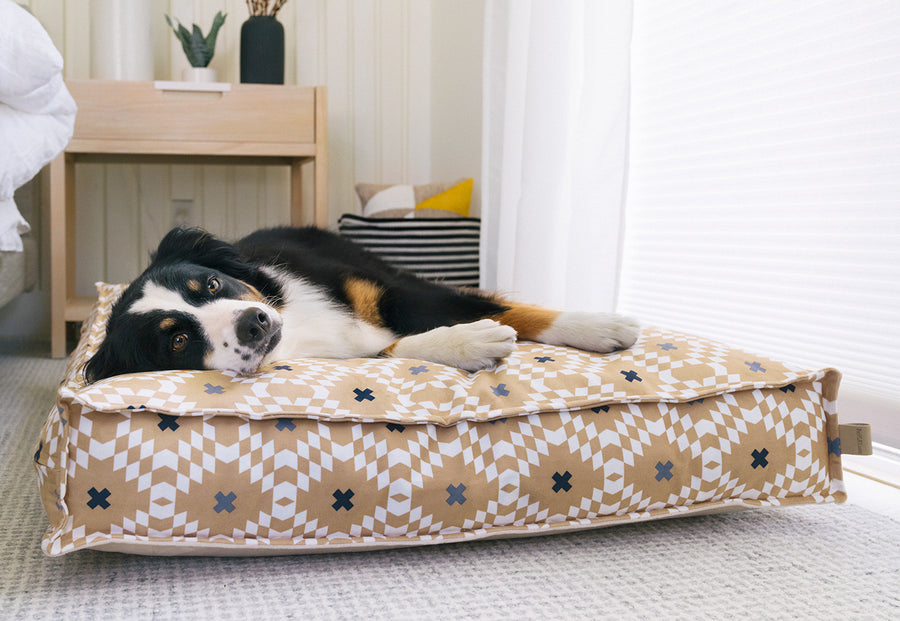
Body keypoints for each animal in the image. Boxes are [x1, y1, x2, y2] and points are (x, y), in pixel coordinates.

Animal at [81, 226, 636, 382]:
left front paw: (598, 326)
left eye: (211, 286)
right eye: (177, 340)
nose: (254, 323)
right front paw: (471, 340)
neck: (300, 327)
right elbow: (397, 347)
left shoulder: (390, 290)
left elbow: (510, 309)